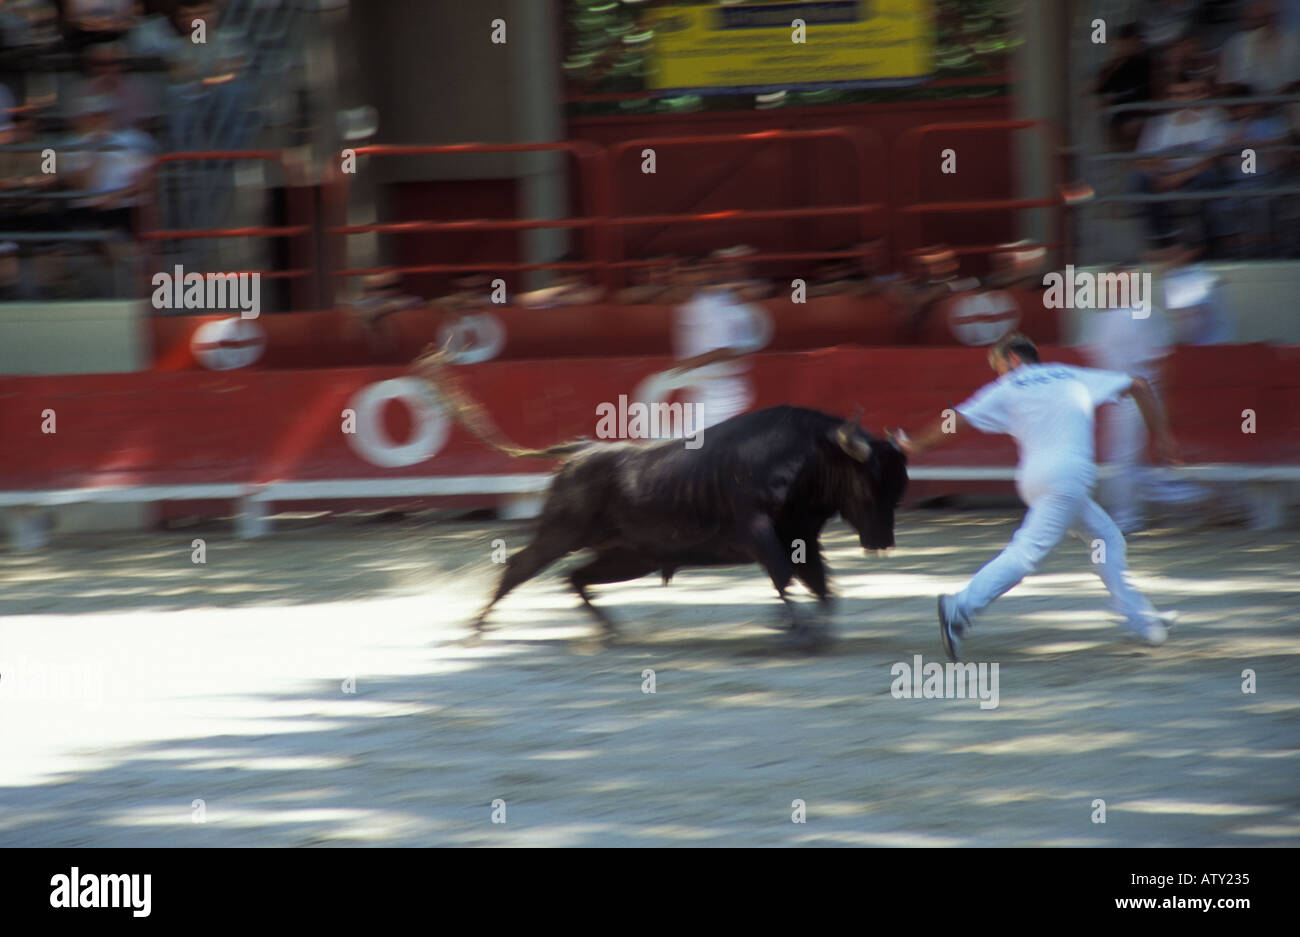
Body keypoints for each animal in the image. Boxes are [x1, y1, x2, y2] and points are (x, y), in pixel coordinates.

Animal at [473, 405, 909, 639]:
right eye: (868, 482)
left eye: (897, 487)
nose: (883, 542)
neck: (810, 458)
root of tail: (583, 451)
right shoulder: (760, 534)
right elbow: (784, 578)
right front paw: (796, 630)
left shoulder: (801, 540)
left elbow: (823, 589)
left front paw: (817, 630)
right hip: (561, 533)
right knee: (520, 566)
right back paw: (478, 625)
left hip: (631, 558)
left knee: (577, 577)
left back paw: (611, 631)